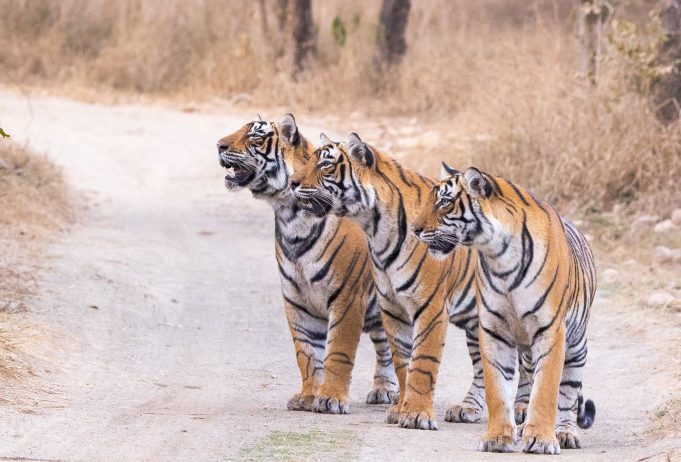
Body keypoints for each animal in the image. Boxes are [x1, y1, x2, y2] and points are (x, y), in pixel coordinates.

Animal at [216, 114, 398, 414]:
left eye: (254, 137)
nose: (219, 145)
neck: (291, 216)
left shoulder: (347, 297)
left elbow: (338, 351)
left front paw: (331, 399)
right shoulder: (296, 299)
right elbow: (308, 354)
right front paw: (308, 397)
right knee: (386, 346)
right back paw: (384, 390)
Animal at [289, 132, 531, 430]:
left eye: (326, 165)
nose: (292, 183)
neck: (376, 229)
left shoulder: (431, 307)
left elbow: (423, 362)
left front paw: (417, 415)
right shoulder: (393, 307)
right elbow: (403, 362)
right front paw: (400, 409)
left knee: (527, 364)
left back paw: (522, 409)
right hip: (479, 322)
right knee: (483, 367)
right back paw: (467, 408)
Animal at [412, 163, 597, 454]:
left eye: (444, 202)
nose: (414, 229)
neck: (498, 255)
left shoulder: (550, 332)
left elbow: (546, 391)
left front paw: (541, 439)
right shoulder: (494, 331)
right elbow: (496, 389)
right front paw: (498, 438)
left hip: (576, 347)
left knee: (566, 396)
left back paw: (564, 433)